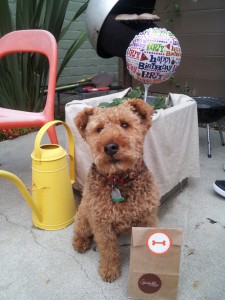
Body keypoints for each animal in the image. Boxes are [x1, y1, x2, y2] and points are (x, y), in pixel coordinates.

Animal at [72, 98, 160, 282]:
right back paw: (80, 243)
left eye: (125, 124)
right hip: (84, 217)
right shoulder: (101, 223)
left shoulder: (147, 218)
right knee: (79, 231)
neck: (118, 180)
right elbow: (108, 249)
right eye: (98, 129)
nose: (110, 147)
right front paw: (109, 270)